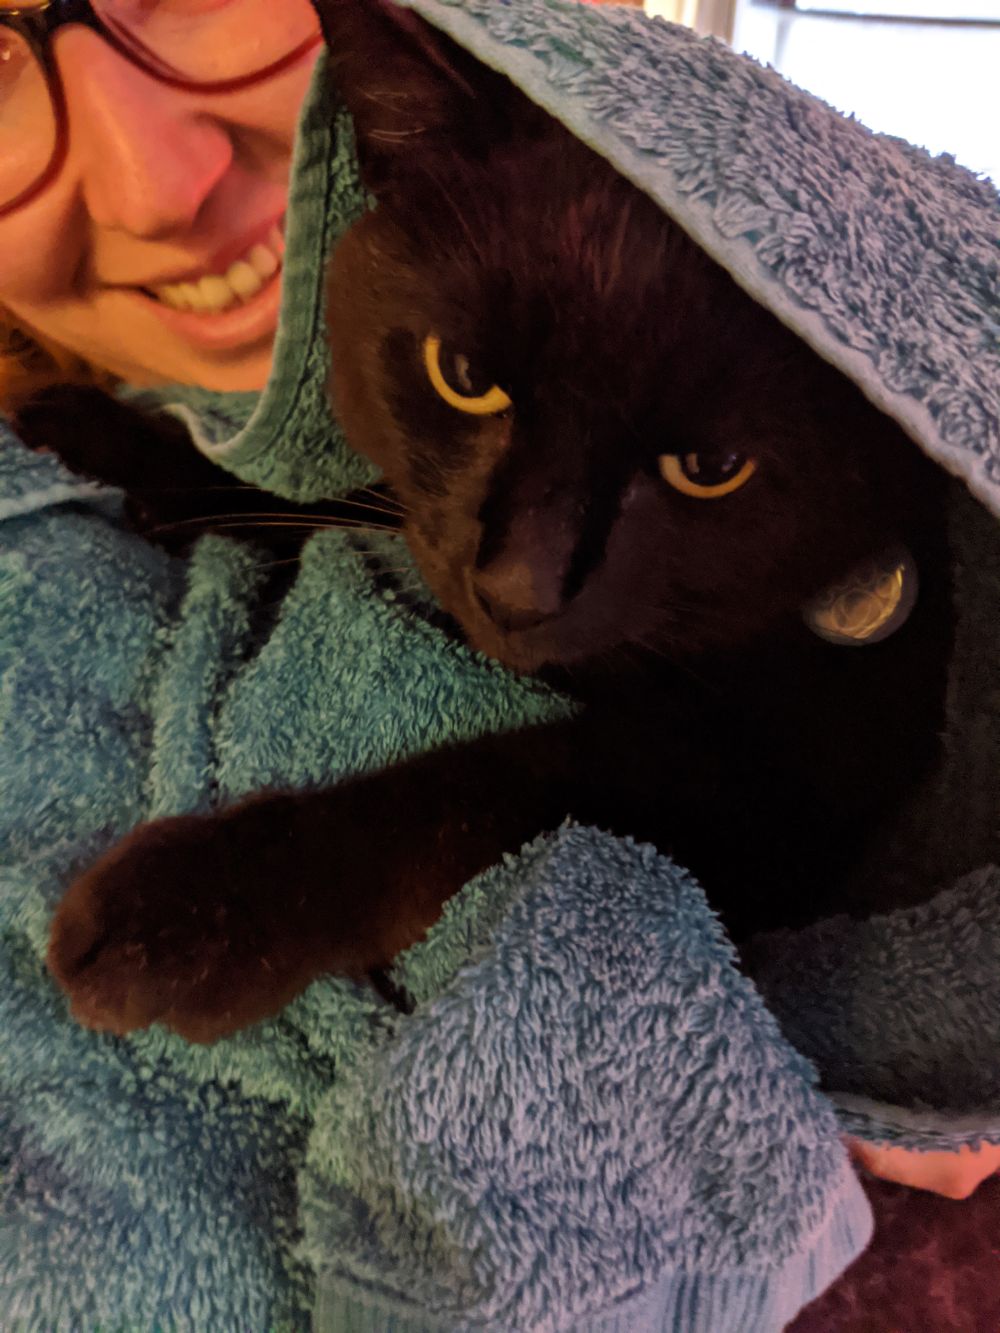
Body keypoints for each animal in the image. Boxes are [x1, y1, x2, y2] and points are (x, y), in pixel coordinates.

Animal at [41, 0, 954, 1039]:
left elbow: (497, 788)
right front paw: (103, 434)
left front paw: (186, 911)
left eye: (712, 470)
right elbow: (313, 506)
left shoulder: (786, 794)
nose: (520, 584)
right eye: (465, 376)